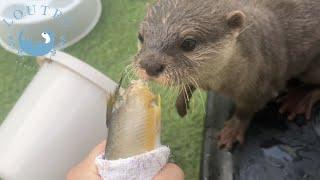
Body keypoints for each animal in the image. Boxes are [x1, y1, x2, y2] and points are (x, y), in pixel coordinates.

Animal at [134, 0, 320, 150]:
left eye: (188, 43)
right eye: (141, 36)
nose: (150, 65)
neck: (219, 82)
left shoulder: (260, 86)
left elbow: (245, 110)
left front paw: (233, 130)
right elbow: (188, 83)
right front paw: (181, 103)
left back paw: (299, 99)